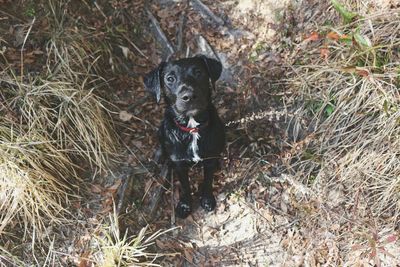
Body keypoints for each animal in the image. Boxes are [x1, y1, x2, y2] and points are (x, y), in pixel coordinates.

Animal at [144, 55, 225, 219]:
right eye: (170, 78)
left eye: (198, 72)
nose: (189, 96)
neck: (192, 129)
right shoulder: (180, 165)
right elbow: (185, 186)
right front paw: (185, 205)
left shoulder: (209, 160)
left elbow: (208, 180)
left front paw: (207, 199)